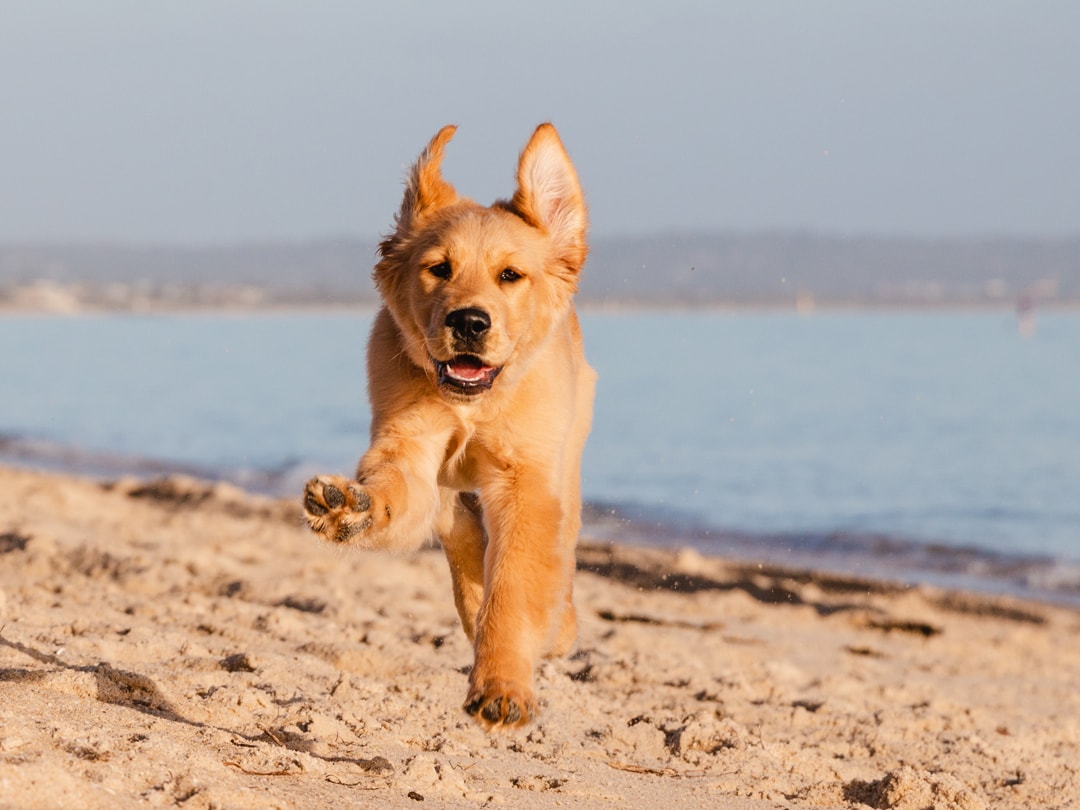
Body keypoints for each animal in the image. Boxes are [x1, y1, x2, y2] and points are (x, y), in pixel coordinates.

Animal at [300, 125, 596, 730]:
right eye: (439, 268)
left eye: (510, 275)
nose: (469, 322)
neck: (473, 405)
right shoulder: (408, 446)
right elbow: (393, 493)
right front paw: (349, 508)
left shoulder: (528, 480)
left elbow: (515, 586)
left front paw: (503, 685)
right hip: (449, 498)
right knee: (463, 545)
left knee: (554, 564)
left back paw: (558, 626)